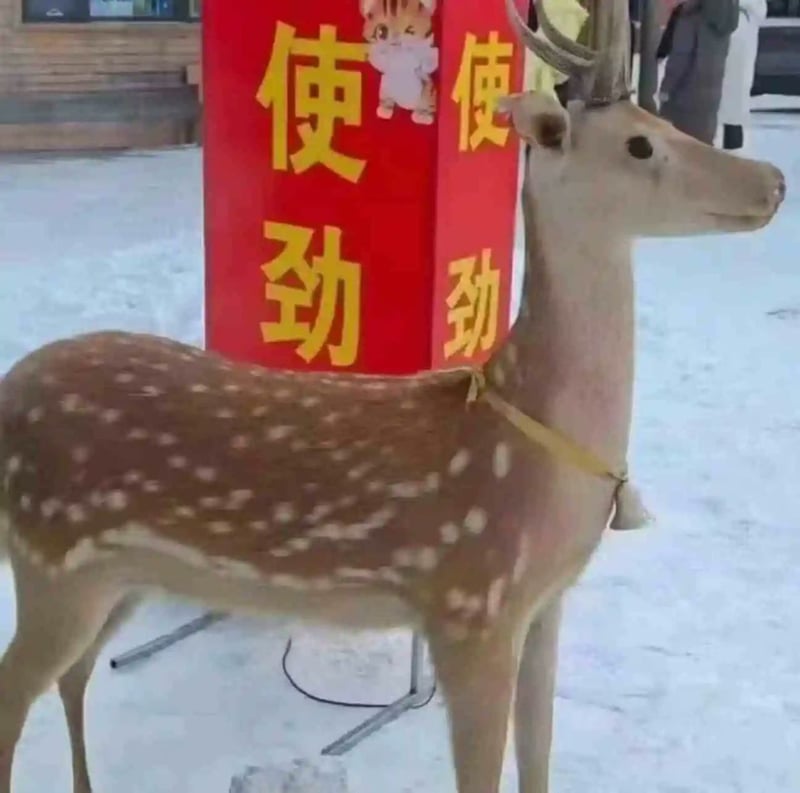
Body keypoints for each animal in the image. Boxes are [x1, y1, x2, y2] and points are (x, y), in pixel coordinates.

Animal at [0, 0, 786, 791]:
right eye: (639, 144)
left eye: (659, 122)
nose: (774, 179)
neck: (538, 464)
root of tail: (7, 392)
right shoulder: (470, 606)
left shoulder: (546, 603)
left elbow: (540, 757)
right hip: (52, 557)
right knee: (17, 695)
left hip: (118, 573)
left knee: (74, 677)